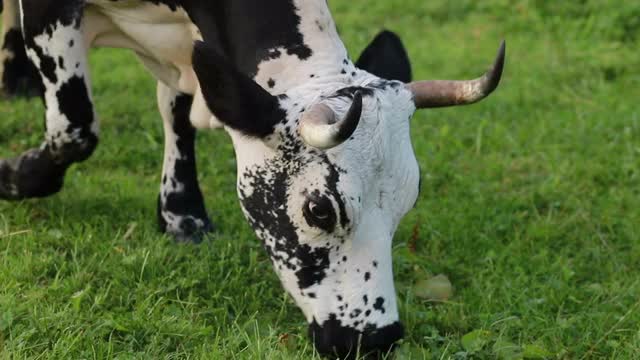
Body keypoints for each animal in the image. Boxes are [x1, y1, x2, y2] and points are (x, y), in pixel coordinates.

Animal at [0, 1, 504, 358]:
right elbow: (75, 127)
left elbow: (177, 110)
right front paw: (12, 176)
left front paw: (183, 215)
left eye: (406, 204)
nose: (375, 339)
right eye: (319, 209)